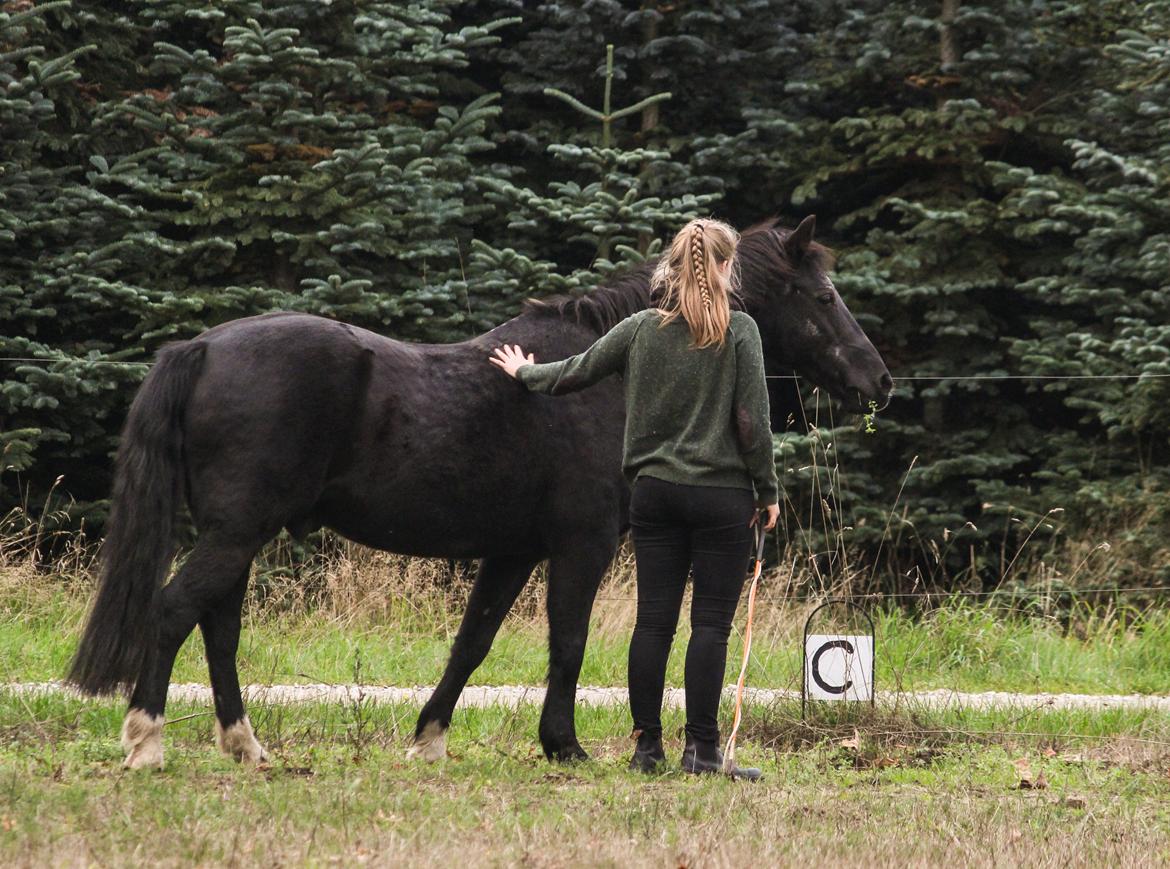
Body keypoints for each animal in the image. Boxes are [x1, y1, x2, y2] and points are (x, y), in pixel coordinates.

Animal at [68, 217, 884, 767]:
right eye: (822, 295)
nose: (878, 378)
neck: (604, 375)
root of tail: (203, 347)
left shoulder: (512, 552)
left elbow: (473, 641)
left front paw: (429, 738)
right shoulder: (580, 546)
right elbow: (568, 640)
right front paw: (564, 746)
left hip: (237, 533)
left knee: (219, 624)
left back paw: (245, 746)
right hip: (238, 530)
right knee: (175, 611)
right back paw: (146, 741)